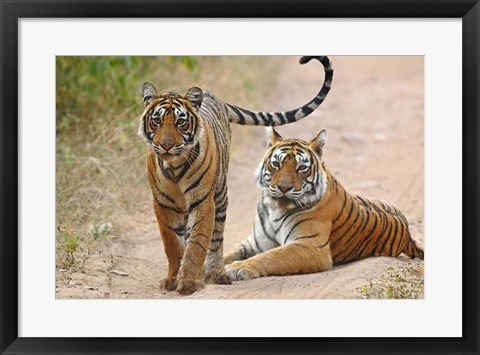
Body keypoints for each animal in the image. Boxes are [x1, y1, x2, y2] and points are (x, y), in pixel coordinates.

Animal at [138, 55, 334, 294]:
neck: (174, 165)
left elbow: (197, 243)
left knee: (216, 237)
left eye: (180, 122)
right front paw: (173, 279)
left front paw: (189, 282)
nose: (166, 146)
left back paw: (215, 273)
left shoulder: (203, 201)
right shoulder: (162, 204)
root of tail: (216, 98)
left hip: (220, 195)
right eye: (157, 120)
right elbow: (173, 245)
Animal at [224, 129, 424, 282]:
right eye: (276, 164)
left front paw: (236, 268)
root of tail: (408, 234)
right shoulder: (254, 243)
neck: (275, 208)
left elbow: (270, 256)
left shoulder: (310, 246)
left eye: (301, 168)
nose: (283, 187)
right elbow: (228, 253)